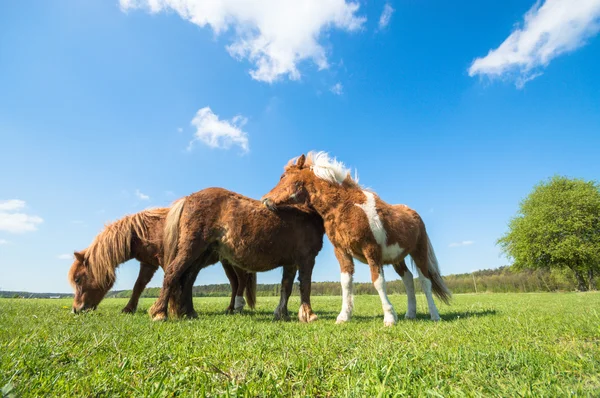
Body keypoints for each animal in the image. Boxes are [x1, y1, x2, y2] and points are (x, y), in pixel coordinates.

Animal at [67, 205, 255, 318]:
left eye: (78, 279)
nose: (75, 309)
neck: (148, 230)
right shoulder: (148, 264)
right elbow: (138, 286)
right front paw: (129, 308)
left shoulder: (167, 259)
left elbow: (174, 281)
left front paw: (171, 309)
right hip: (226, 262)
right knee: (234, 283)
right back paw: (230, 308)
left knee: (241, 281)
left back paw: (236, 308)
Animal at [146, 188, 324, 322]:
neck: (307, 214)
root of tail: (189, 198)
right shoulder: (306, 259)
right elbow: (305, 285)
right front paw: (309, 314)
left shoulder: (291, 263)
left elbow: (286, 287)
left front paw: (282, 314)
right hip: (191, 248)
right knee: (173, 272)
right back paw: (160, 313)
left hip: (201, 254)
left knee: (188, 280)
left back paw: (189, 312)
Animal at [262, 152, 450, 326]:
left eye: (283, 177)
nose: (265, 199)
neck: (346, 207)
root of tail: (414, 214)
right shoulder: (342, 252)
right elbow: (346, 283)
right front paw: (343, 316)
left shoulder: (371, 250)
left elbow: (378, 282)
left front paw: (389, 318)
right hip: (397, 258)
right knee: (409, 279)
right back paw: (410, 314)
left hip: (419, 252)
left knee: (425, 281)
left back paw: (435, 315)